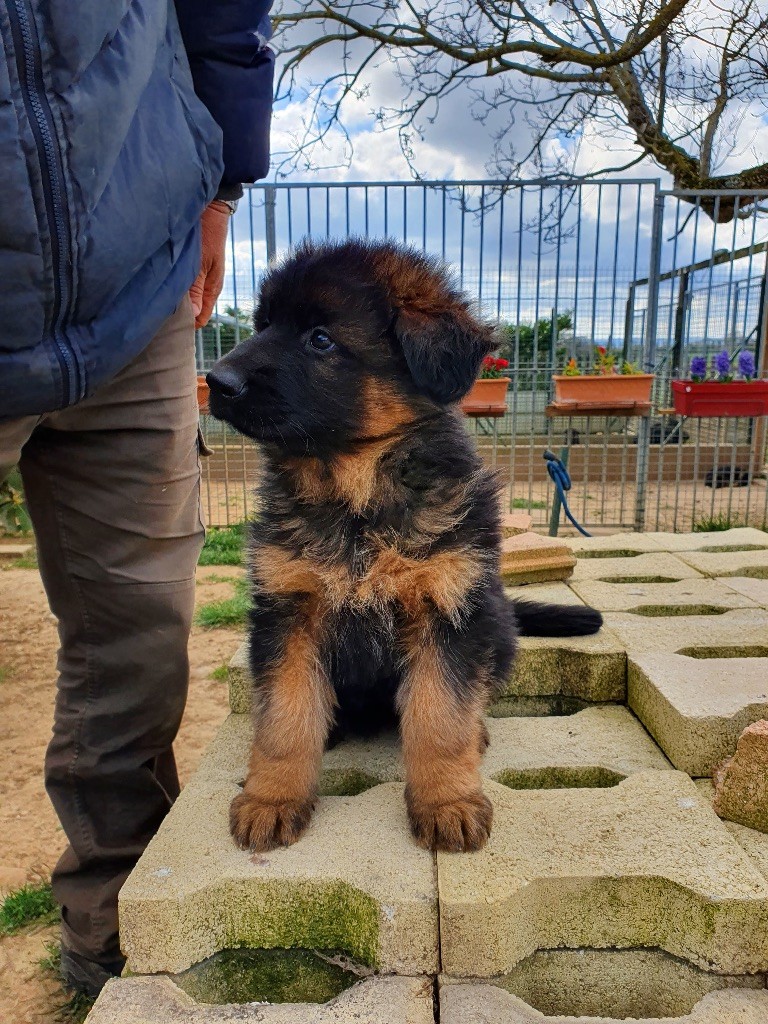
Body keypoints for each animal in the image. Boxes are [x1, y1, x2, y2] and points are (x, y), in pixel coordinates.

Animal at [207, 239, 606, 856]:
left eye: (320, 338)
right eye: (263, 324)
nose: (214, 381)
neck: (357, 498)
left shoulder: (447, 607)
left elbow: (439, 719)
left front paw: (447, 802)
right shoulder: (287, 611)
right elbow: (283, 721)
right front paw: (271, 799)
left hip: (494, 622)